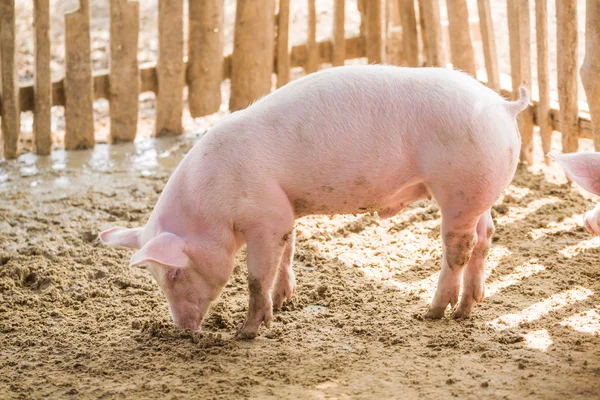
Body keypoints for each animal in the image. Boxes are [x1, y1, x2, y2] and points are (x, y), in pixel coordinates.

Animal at [101, 65, 532, 338]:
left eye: (173, 274)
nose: (181, 330)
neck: (212, 202)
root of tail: (504, 106)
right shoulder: (284, 207)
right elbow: (287, 253)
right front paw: (283, 303)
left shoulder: (266, 215)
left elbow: (256, 275)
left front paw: (247, 333)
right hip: (477, 193)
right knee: (486, 234)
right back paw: (467, 307)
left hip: (458, 188)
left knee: (458, 247)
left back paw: (434, 312)